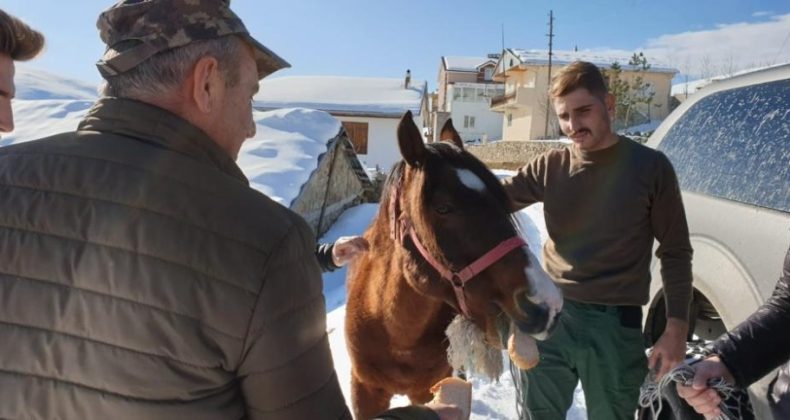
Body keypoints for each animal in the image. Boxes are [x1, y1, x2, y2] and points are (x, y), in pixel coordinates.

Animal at [344, 110, 564, 418]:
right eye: (443, 208)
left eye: (503, 202)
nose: (546, 305)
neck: (396, 333)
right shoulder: (364, 393)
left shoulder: (429, 390)